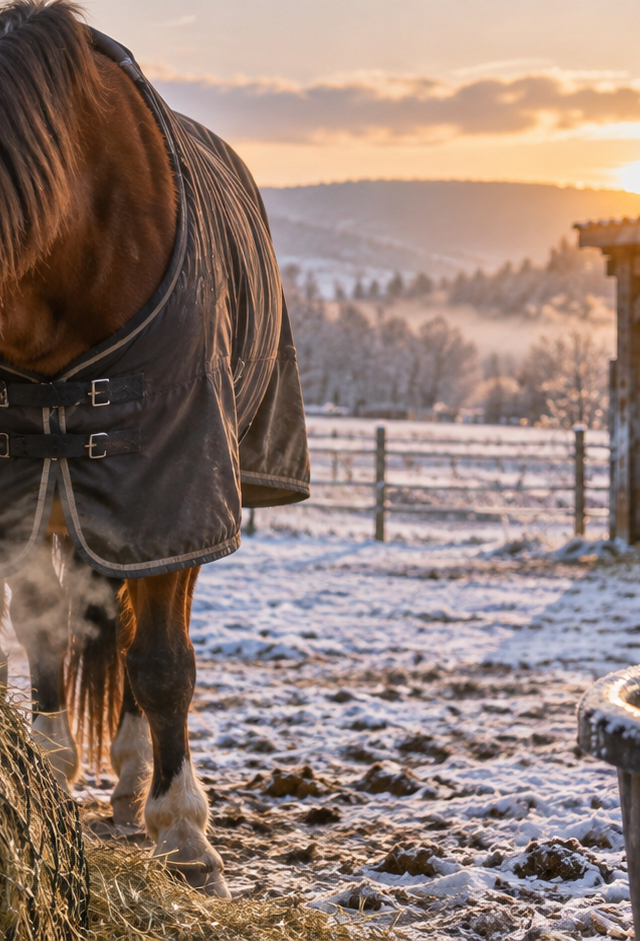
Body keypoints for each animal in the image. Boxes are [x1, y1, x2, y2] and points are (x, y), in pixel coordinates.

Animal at [0, 0, 309, 897]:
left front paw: (185, 832)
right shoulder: (22, 480)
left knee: (139, 628)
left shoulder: (176, 491)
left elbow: (165, 661)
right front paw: (50, 767)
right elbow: (43, 626)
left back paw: (139, 777)